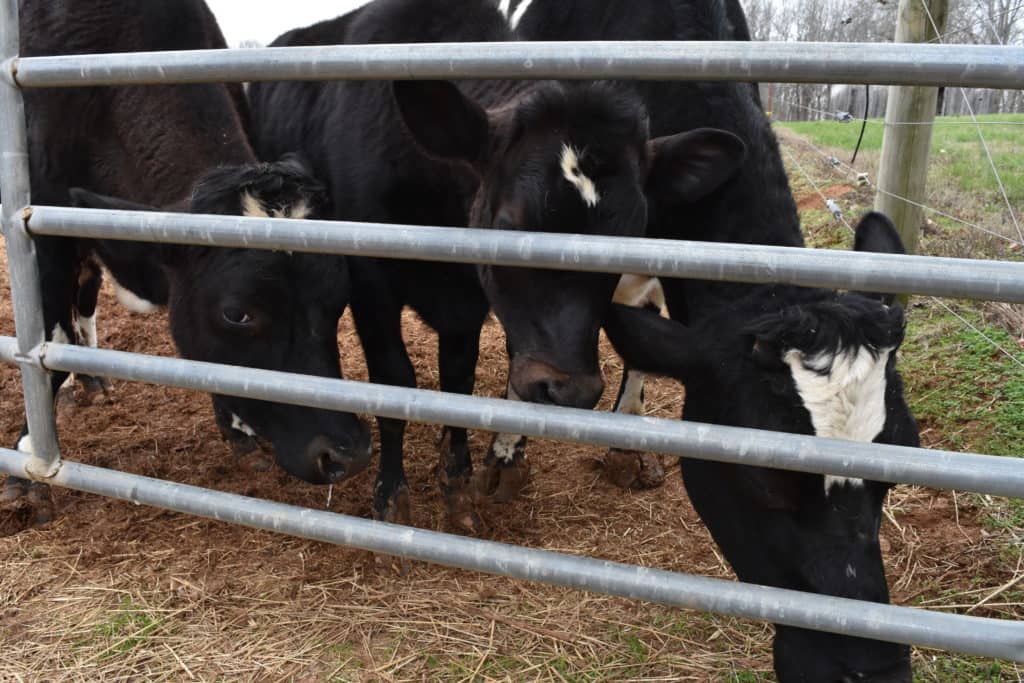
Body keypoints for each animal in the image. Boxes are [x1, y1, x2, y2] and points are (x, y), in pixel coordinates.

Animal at [3, 0, 372, 520]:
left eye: (338, 300)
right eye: (237, 313)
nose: (347, 453)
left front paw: (236, 431)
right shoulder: (41, 231)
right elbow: (47, 348)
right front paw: (29, 465)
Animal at [247, 0, 745, 532]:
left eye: (634, 235)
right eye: (510, 225)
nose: (569, 389)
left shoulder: (465, 302)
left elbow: (458, 382)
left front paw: (456, 485)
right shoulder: (371, 285)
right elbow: (394, 382)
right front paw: (392, 494)